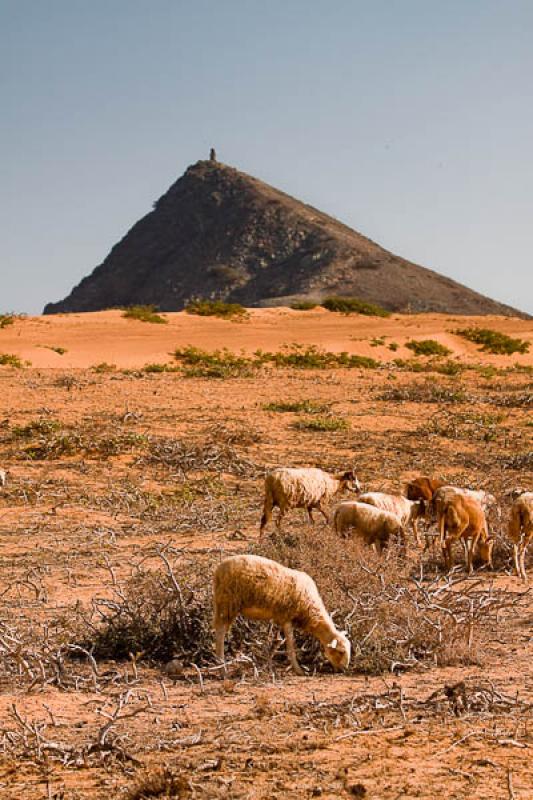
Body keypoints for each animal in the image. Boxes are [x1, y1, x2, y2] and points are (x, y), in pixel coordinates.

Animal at [212, 556, 350, 676]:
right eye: (341, 652)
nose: (344, 670)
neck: (310, 610)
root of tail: (218, 570)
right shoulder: (287, 617)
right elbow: (291, 646)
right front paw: (299, 670)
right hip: (227, 603)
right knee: (220, 632)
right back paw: (222, 670)